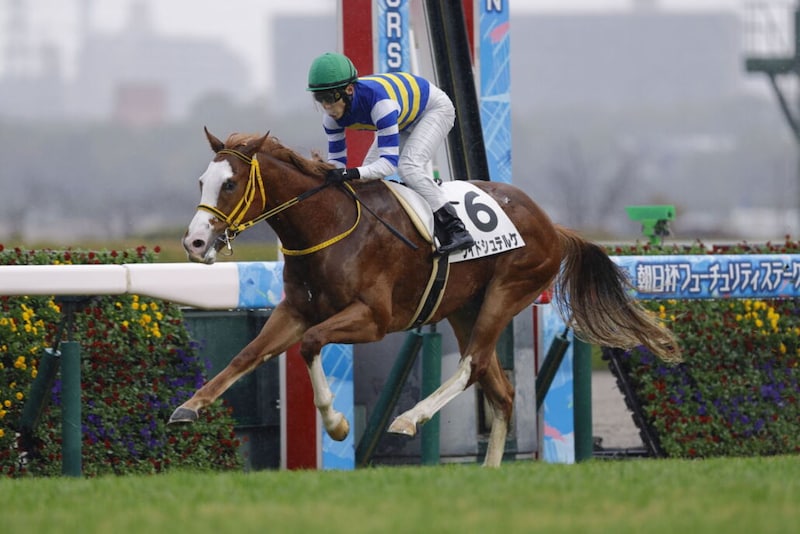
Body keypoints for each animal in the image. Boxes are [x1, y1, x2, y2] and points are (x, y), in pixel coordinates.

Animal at [171, 128, 680, 467]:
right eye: (201, 181)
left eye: (230, 183)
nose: (194, 243)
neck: (328, 226)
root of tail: (552, 225)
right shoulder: (295, 309)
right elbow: (248, 354)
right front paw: (189, 406)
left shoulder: (373, 319)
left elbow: (312, 344)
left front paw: (337, 424)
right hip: (464, 308)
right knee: (502, 391)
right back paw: (490, 471)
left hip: (508, 291)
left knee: (473, 364)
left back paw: (410, 418)